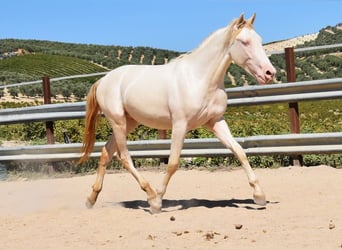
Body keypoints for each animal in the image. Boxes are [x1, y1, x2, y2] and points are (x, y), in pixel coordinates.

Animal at [79, 13, 276, 213]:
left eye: (260, 40)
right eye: (244, 42)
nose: (270, 73)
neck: (200, 79)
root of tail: (103, 80)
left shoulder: (215, 121)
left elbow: (239, 151)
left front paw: (259, 196)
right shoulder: (180, 125)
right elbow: (173, 163)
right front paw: (158, 201)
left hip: (130, 122)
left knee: (106, 152)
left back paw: (91, 199)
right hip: (118, 121)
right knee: (124, 157)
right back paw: (150, 196)